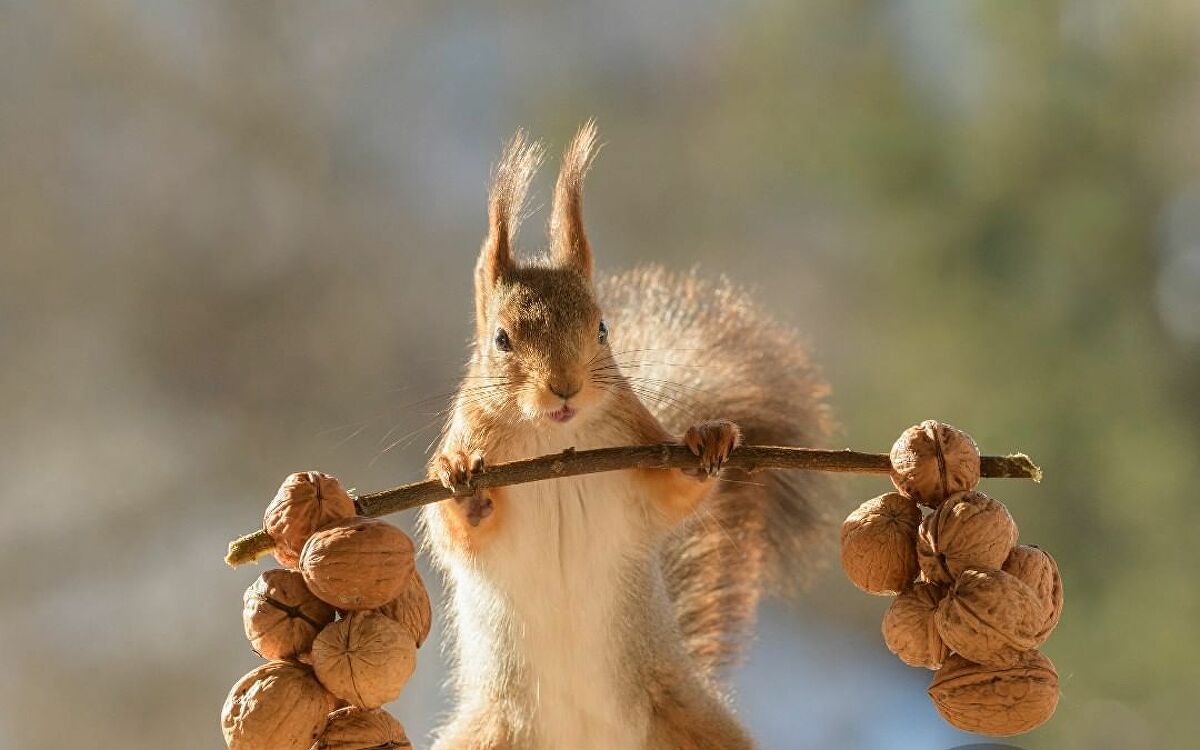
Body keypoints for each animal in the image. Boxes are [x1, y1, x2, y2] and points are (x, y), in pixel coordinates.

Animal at [422, 124, 835, 748]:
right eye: (500, 339)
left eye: (602, 329)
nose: (565, 389)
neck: (553, 445)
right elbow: (455, 531)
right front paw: (459, 475)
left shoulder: (634, 452)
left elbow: (672, 495)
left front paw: (707, 440)